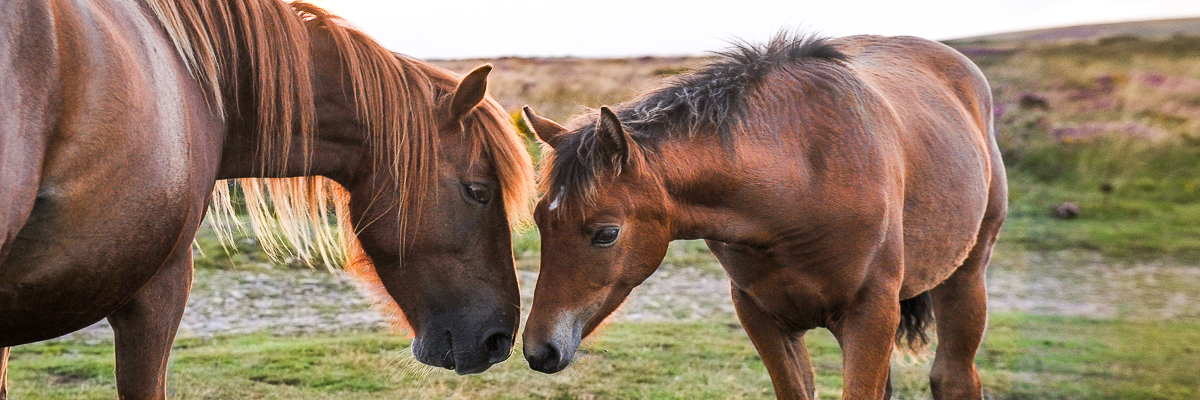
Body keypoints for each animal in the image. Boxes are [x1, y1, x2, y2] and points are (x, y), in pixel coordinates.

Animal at [523, 32, 1003, 396]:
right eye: (541, 222)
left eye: (606, 233)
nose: (538, 350)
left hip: (965, 278)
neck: (802, 180)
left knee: (954, 378)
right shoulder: (764, 318)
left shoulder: (872, 316)